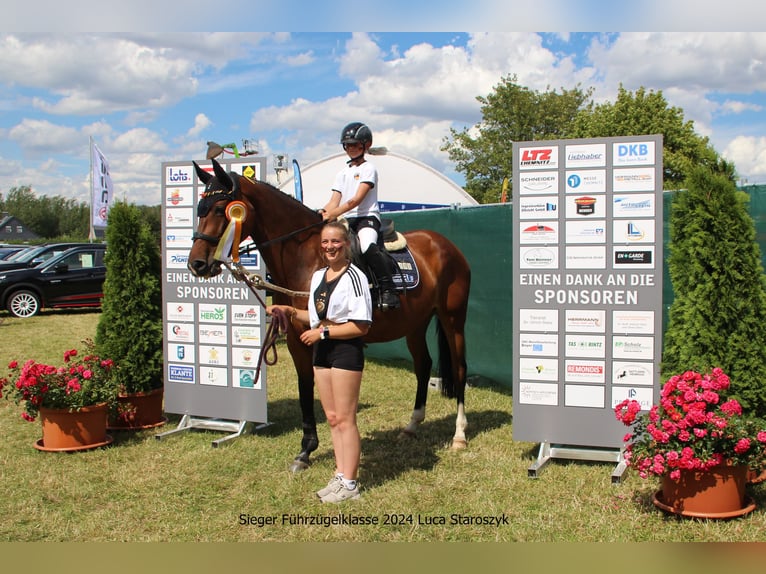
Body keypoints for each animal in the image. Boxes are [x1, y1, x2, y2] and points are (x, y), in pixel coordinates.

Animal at [189, 159, 472, 472]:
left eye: (220, 209)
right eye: (200, 208)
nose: (197, 264)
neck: (307, 257)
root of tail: (445, 245)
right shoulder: (296, 340)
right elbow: (305, 388)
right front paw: (305, 451)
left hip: (453, 319)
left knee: (459, 368)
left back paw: (459, 434)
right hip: (415, 324)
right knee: (423, 366)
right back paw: (411, 427)